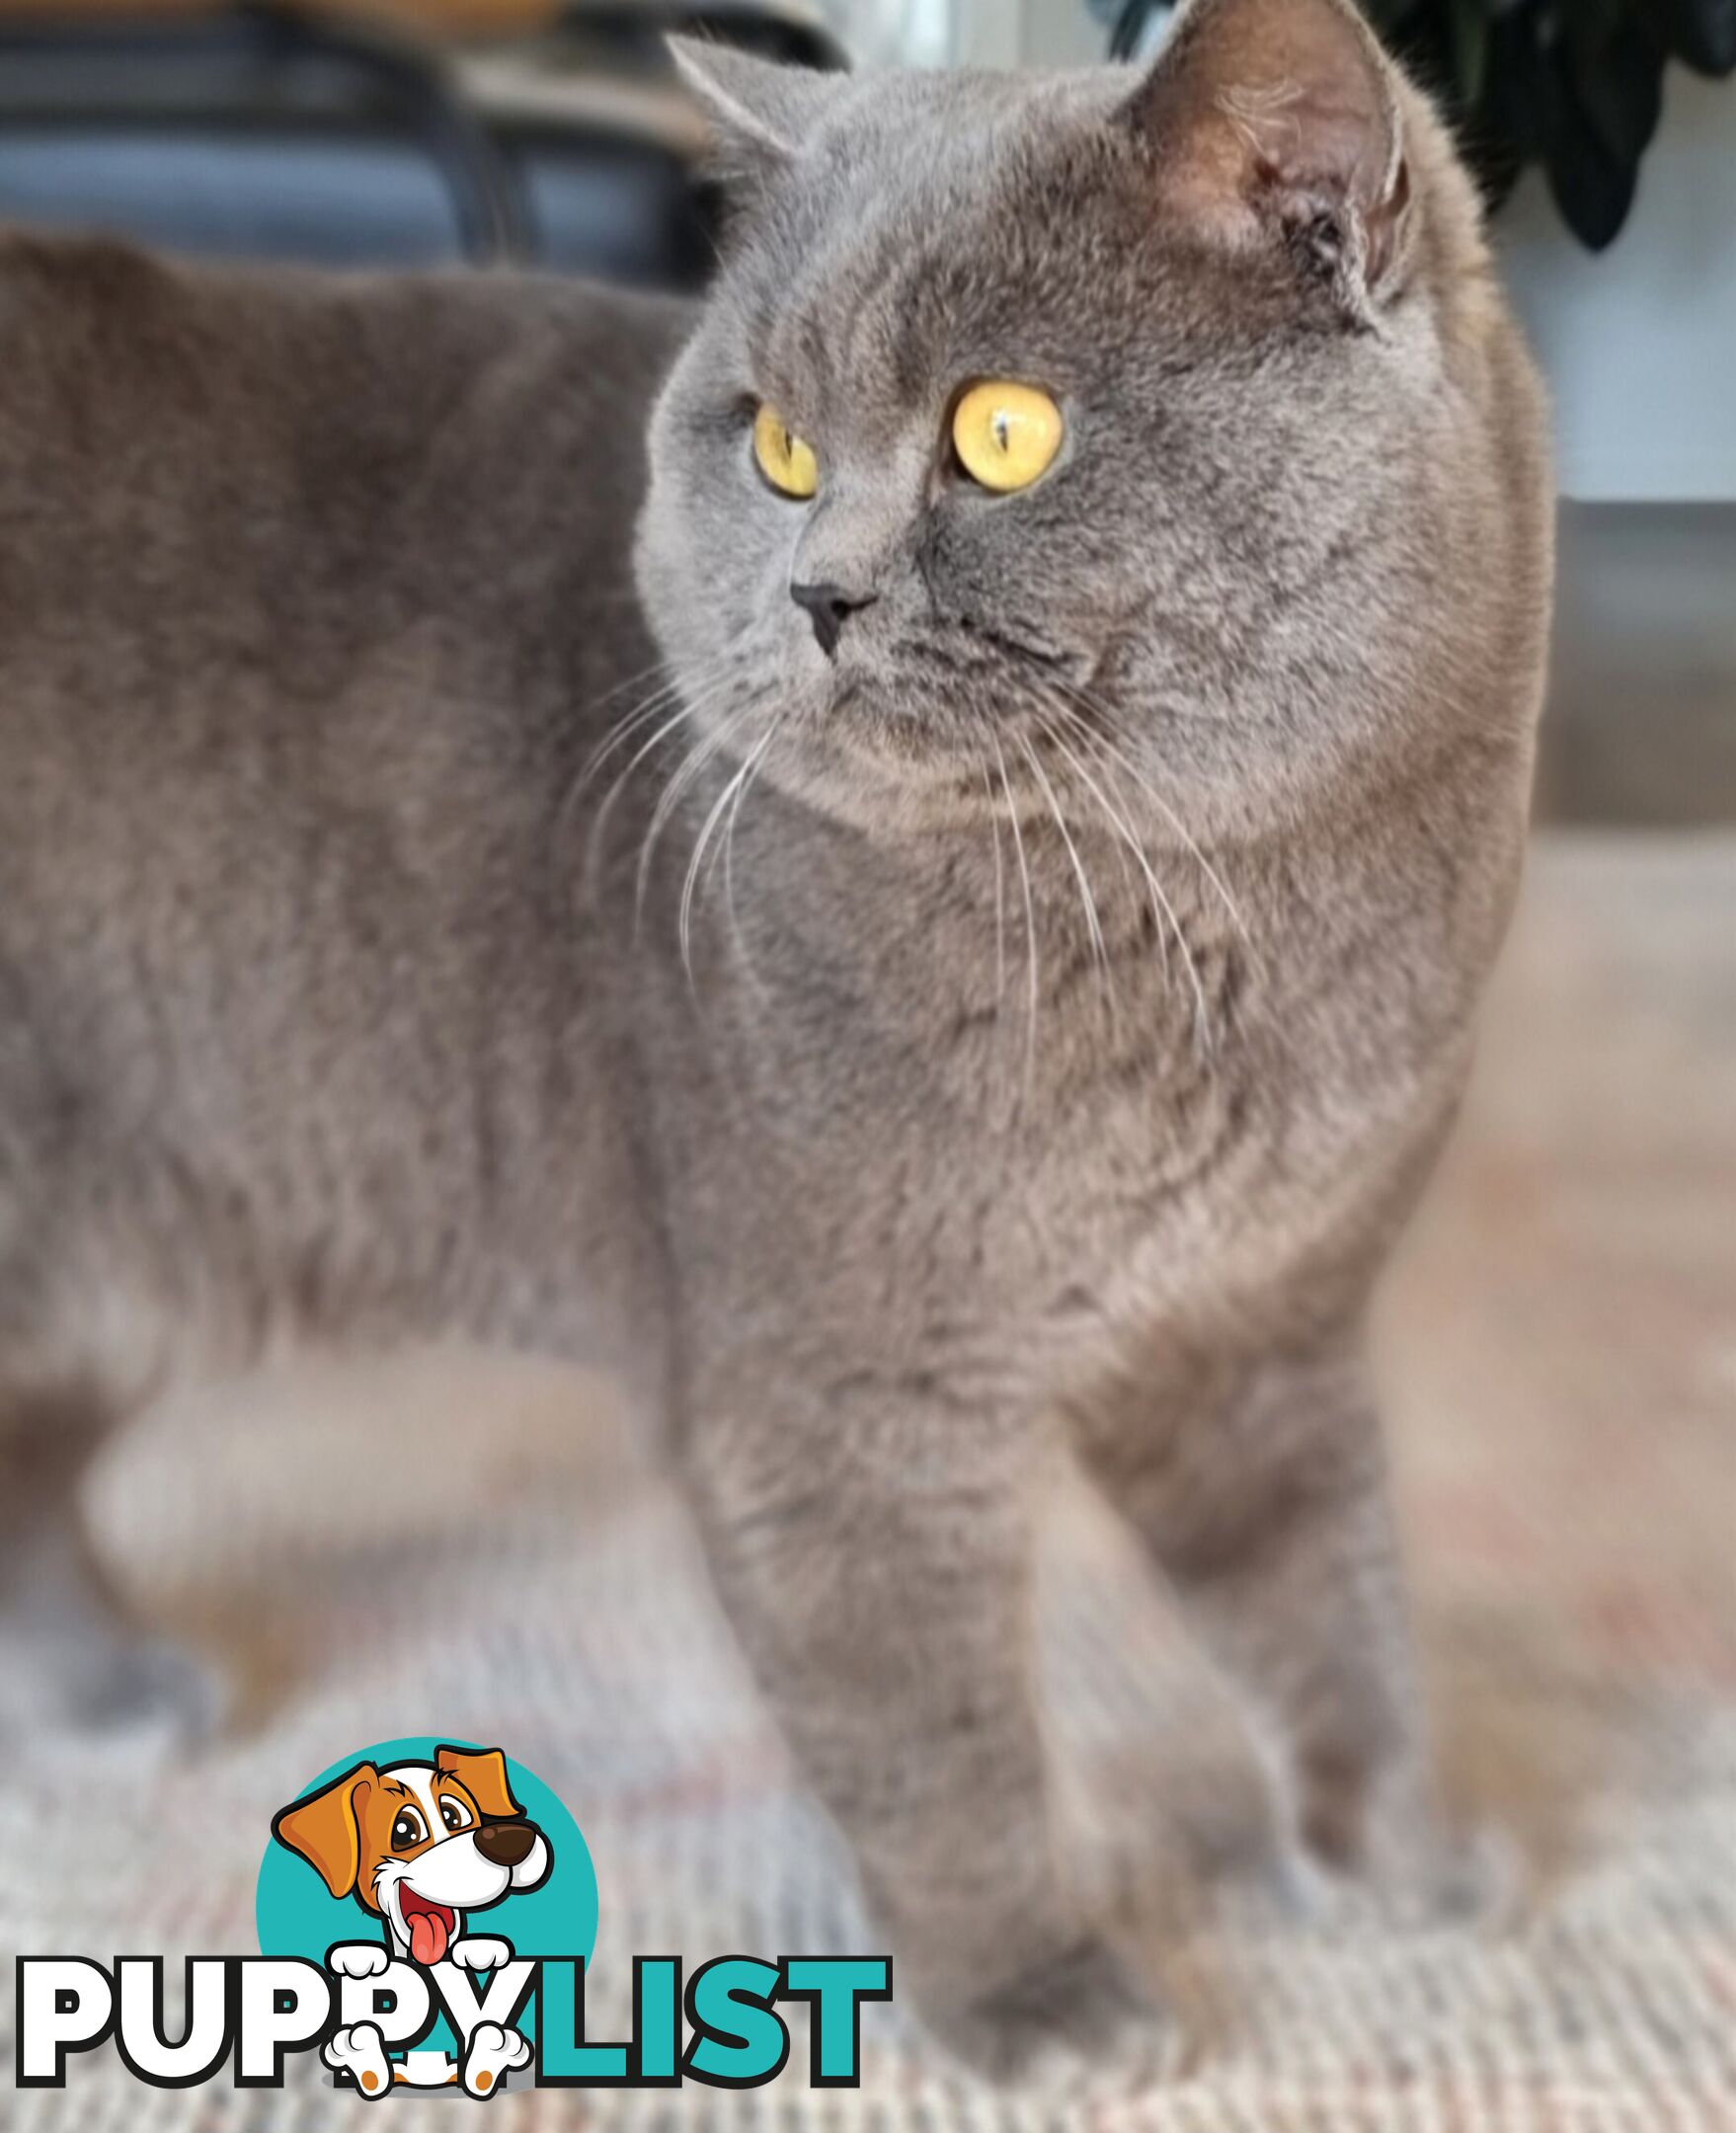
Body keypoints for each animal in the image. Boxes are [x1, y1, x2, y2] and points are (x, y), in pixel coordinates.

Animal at [0, 0, 1552, 2082]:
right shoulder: (837, 1402)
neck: (1211, 927)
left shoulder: (1261, 1334)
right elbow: (932, 1732)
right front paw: (1041, 2000)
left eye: (1001, 432)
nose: (816, 588)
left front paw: (1400, 1864)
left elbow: (1335, 1607)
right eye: (776, 444)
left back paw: (104, 1695)